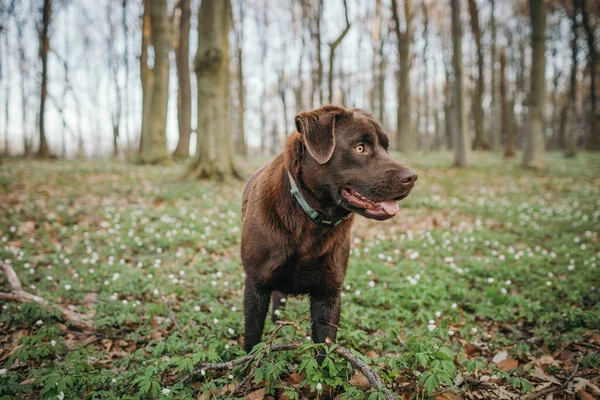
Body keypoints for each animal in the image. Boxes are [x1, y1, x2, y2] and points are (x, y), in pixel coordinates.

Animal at [240, 104, 418, 354]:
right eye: (360, 148)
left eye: (386, 147)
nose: (412, 177)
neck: (308, 218)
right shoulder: (256, 285)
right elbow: (252, 339)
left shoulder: (328, 293)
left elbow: (325, 348)